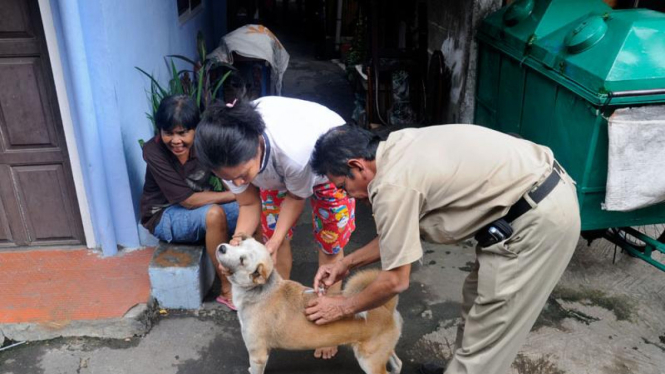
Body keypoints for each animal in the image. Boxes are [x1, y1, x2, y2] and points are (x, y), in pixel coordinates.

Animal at [218, 238, 402, 374]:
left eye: (242, 261)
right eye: (239, 243)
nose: (221, 248)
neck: (261, 291)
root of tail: (386, 308)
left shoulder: (258, 355)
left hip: (369, 361)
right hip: (382, 352)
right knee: (397, 363)